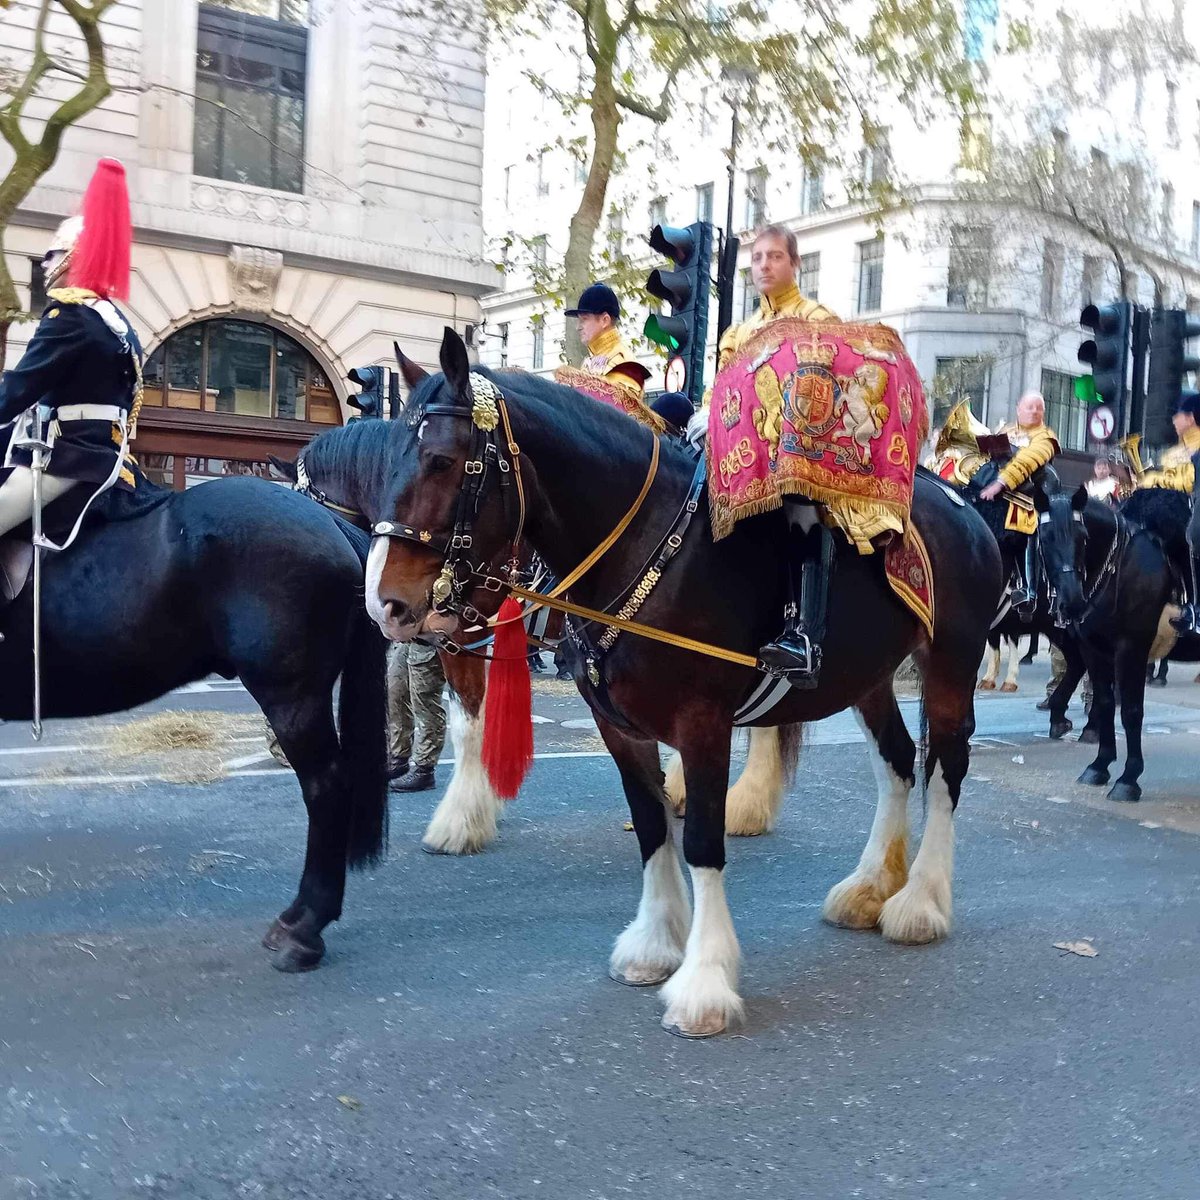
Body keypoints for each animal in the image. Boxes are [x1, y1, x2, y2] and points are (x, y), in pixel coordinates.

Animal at [355, 331, 1003, 1041]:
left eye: (442, 460)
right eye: (385, 462)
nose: (385, 603)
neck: (648, 552)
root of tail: (964, 506)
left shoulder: (702, 726)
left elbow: (701, 841)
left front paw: (704, 981)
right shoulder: (618, 726)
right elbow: (651, 826)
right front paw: (656, 943)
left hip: (950, 667)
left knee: (944, 770)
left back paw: (919, 902)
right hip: (869, 677)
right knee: (897, 763)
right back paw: (867, 888)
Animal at [1036, 475, 1166, 796]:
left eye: (1083, 537)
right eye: (1045, 538)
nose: (1071, 601)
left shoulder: (1131, 648)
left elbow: (1131, 710)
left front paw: (1129, 778)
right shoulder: (1093, 648)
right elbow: (1106, 701)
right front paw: (1100, 765)